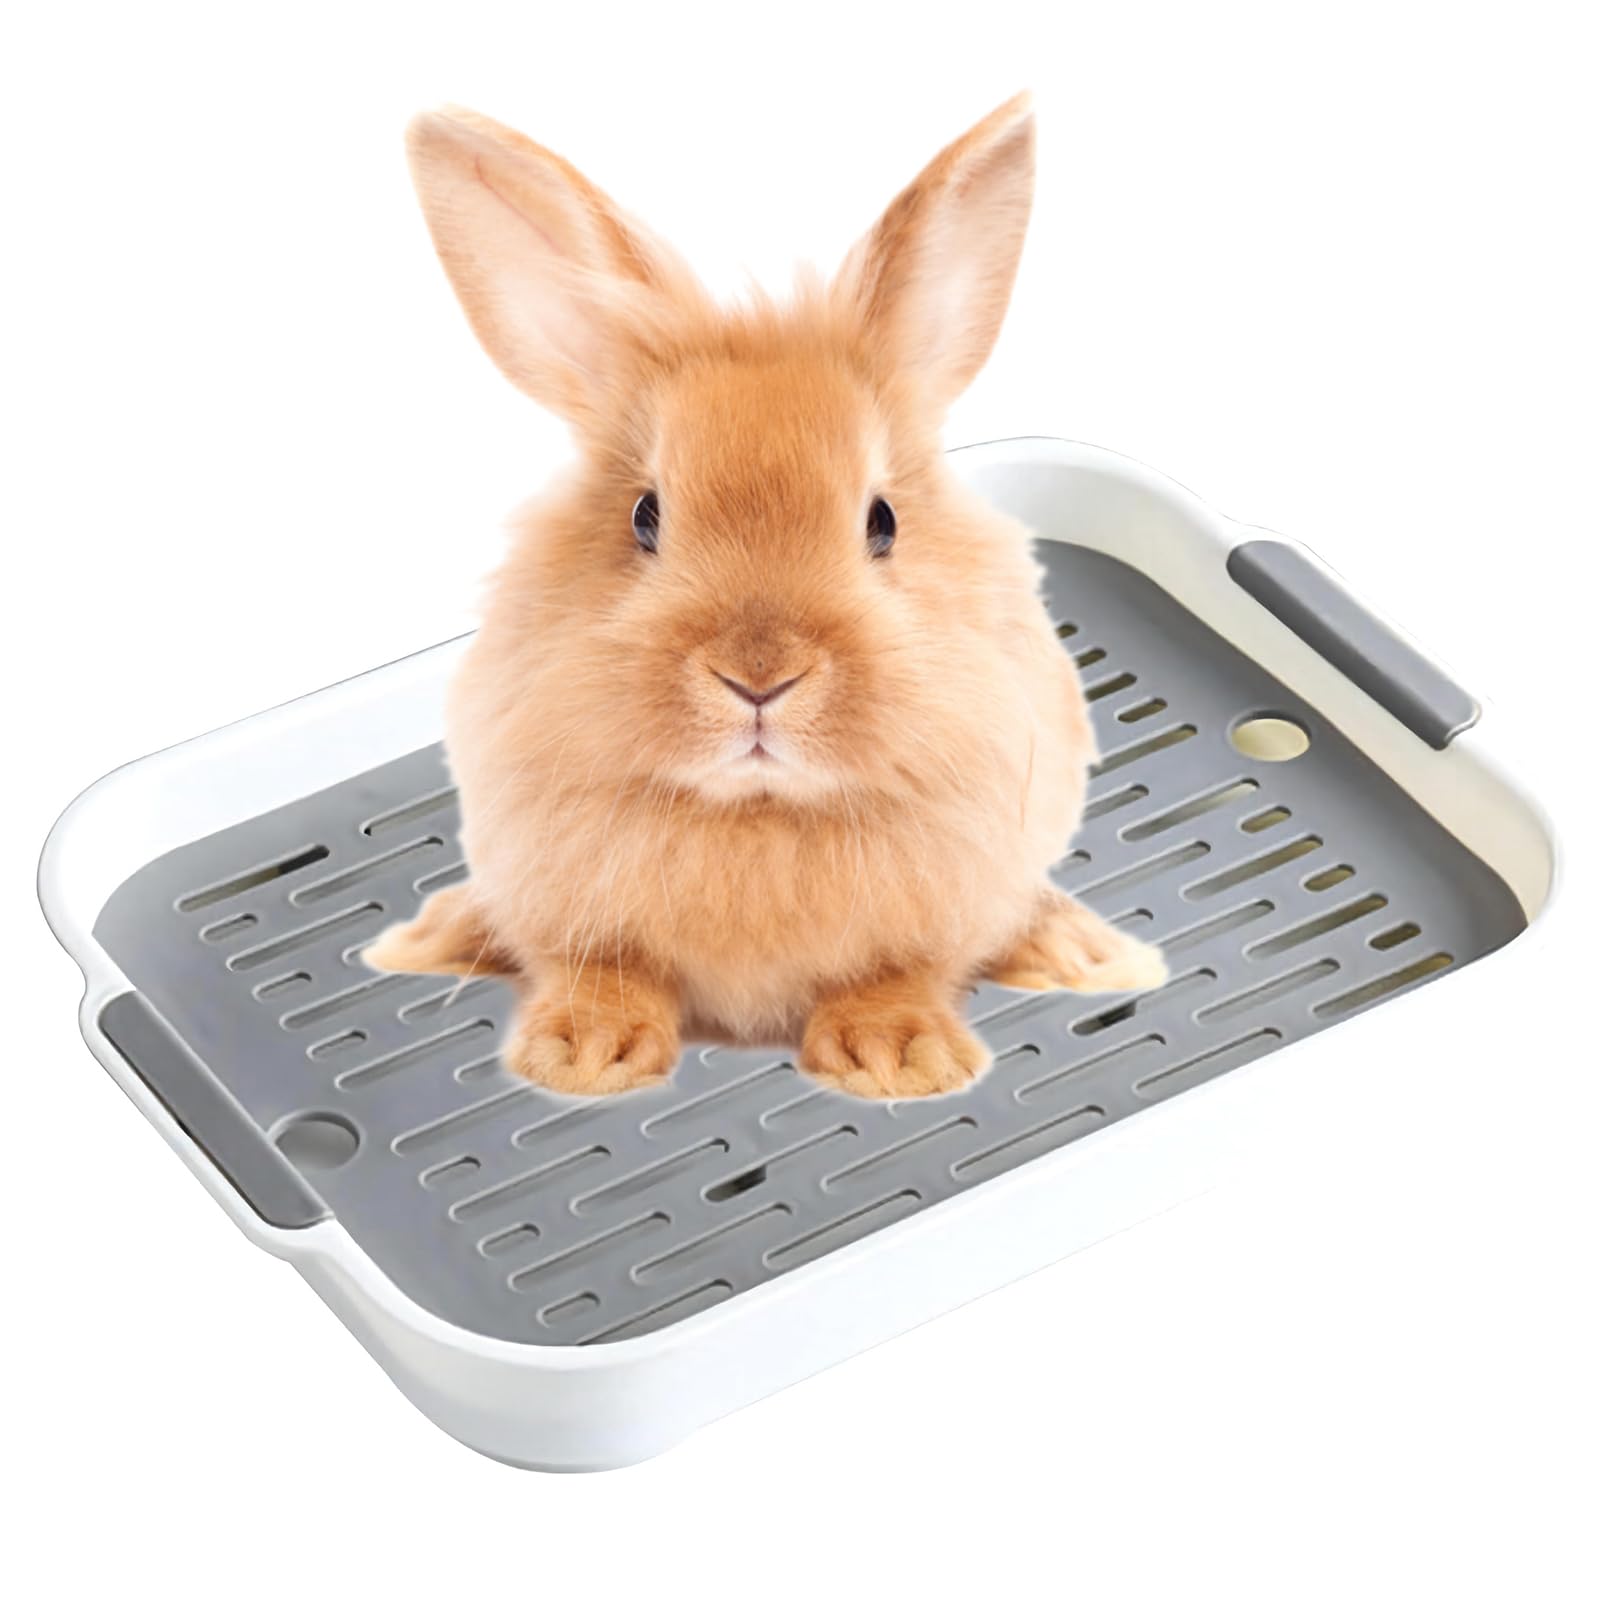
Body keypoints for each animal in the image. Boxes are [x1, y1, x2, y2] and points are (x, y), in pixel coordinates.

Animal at [367, 93, 1167, 1100]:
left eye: (882, 521)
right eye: (645, 515)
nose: (758, 676)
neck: (758, 813)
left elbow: (895, 973)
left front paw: (896, 1062)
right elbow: (606, 971)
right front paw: (584, 1058)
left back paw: (1085, 955)